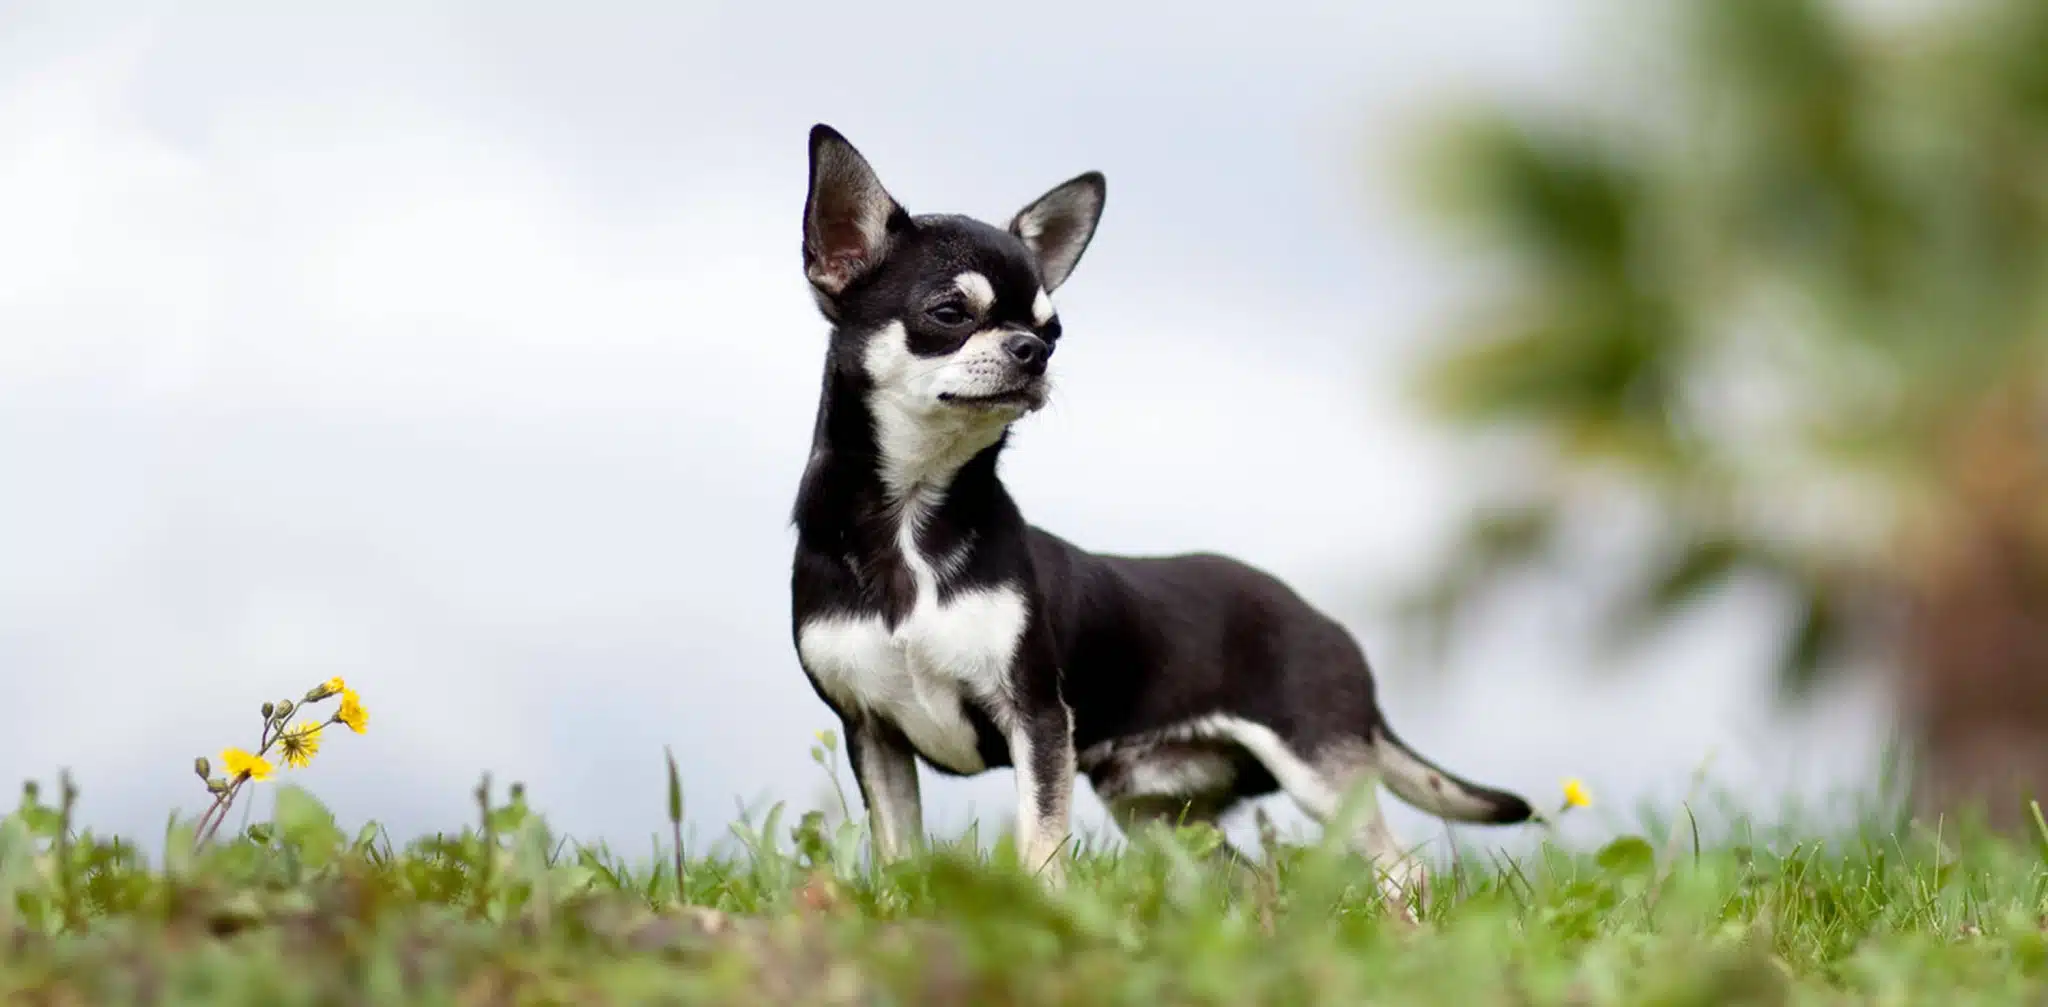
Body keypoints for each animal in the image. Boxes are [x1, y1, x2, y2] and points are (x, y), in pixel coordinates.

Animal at [790, 125, 1531, 904]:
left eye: (1054, 330)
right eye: (949, 313)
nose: (1032, 351)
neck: (913, 517)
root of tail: (1327, 625)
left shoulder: (1037, 721)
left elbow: (1041, 845)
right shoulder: (873, 734)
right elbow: (898, 857)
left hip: (1318, 771)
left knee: (1402, 869)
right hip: (1159, 811)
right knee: (1252, 877)